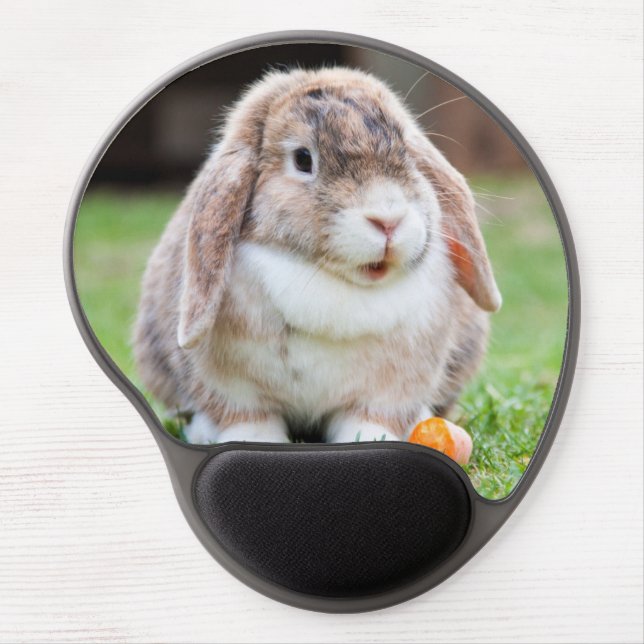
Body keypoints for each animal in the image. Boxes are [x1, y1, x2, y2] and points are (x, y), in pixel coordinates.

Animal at [133, 67, 501, 445]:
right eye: (302, 159)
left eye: (407, 153)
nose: (388, 219)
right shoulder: (234, 389)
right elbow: (248, 418)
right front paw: (255, 440)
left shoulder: (390, 389)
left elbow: (370, 419)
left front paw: (371, 440)